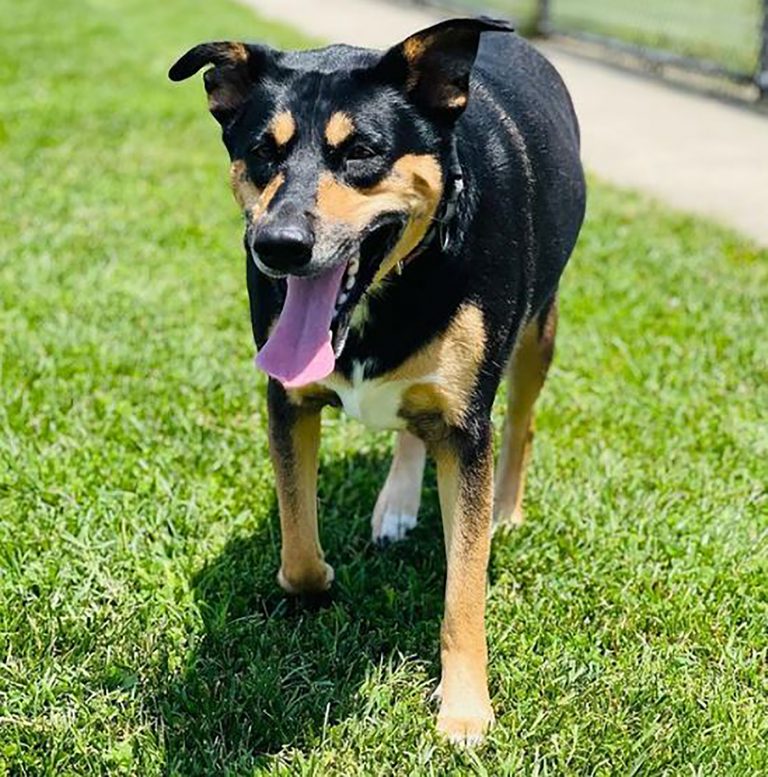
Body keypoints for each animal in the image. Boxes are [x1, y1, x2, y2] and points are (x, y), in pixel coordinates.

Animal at [170, 18, 588, 744]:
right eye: (262, 151)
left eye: (361, 151)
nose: (277, 246)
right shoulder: (287, 398)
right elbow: (297, 547)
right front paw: (319, 580)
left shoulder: (466, 427)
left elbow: (465, 583)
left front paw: (466, 706)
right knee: (412, 428)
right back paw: (397, 501)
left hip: (539, 330)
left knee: (522, 420)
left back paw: (507, 508)